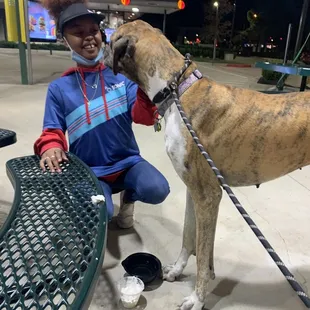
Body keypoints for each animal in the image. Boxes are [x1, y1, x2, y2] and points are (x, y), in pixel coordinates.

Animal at [103, 20, 310, 310]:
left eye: (111, 40)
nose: (100, 48)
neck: (178, 89)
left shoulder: (208, 195)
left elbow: (201, 254)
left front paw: (197, 298)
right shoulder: (196, 192)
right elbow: (190, 236)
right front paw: (178, 270)